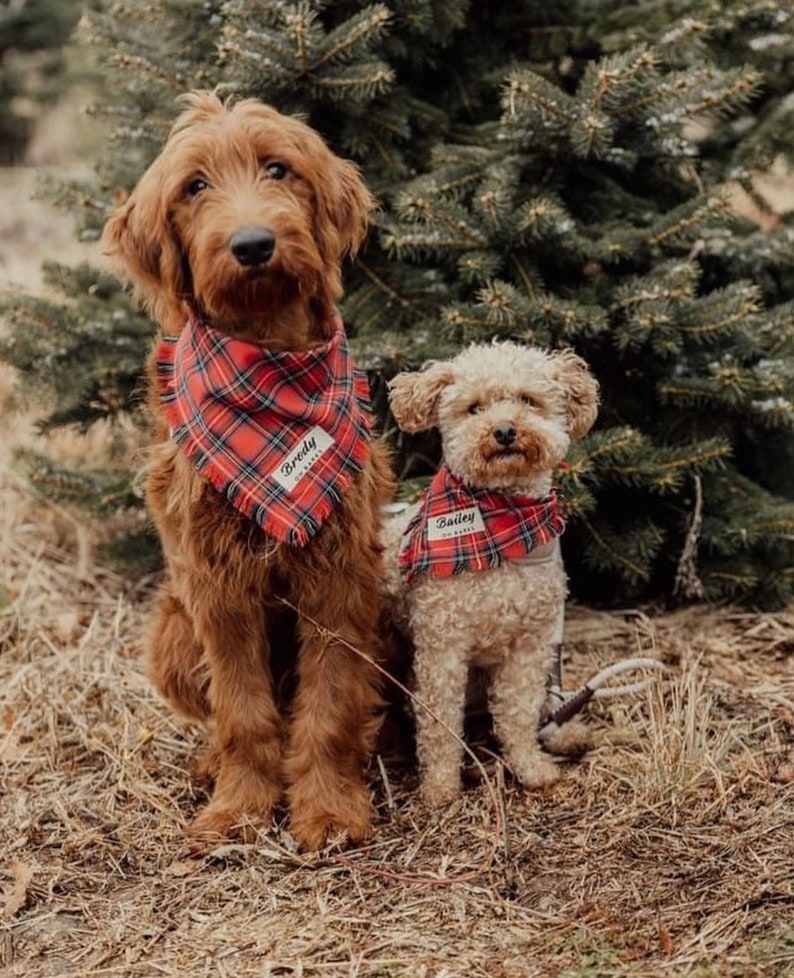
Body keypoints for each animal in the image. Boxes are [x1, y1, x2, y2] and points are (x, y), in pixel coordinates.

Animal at [102, 93, 392, 856]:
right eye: (194, 186)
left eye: (277, 168)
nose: (254, 244)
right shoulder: (216, 581)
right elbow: (242, 710)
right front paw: (240, 809)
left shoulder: (340, 572)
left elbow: (329, 704)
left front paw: (329, 810)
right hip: (172, 634)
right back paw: (210, 767)